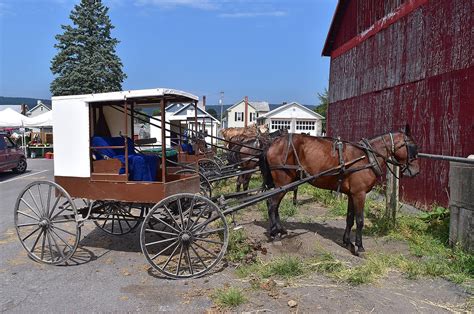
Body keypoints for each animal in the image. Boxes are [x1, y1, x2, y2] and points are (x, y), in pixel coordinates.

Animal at [262, 125, 420, 255]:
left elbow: (349, 218)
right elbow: (360, 220)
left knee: (274, 205)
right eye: (413, 146)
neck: (367, 157)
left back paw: (280, 230)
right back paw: (275, 234)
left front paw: (347, 242)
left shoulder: (352, 194)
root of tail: (272, 143)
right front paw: (359, 247)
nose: (416, 171)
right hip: (283, 181)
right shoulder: (359, 194)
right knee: (272, 205)